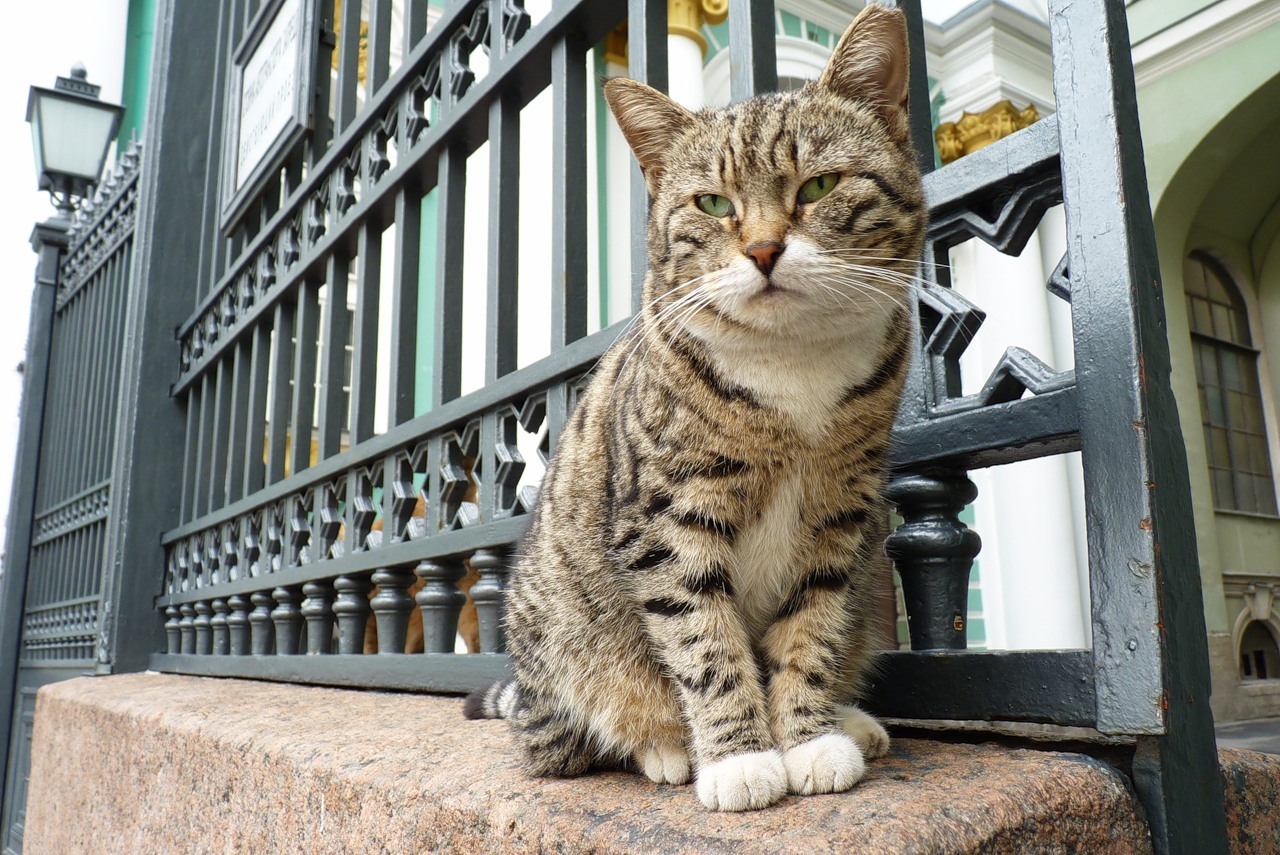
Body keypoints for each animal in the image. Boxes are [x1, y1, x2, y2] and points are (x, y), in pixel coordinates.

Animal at [465, 3, 926, 814]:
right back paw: (667, 747)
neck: (792, 364)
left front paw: (807, 738)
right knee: (583, 736)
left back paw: (850, 717)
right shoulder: (666, 519)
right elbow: (704, 642)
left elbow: (814, 631)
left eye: (819, 186)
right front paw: (740, 757)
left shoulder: (840, 515)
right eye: (713, 203)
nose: (766, 250)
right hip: (563, 655)